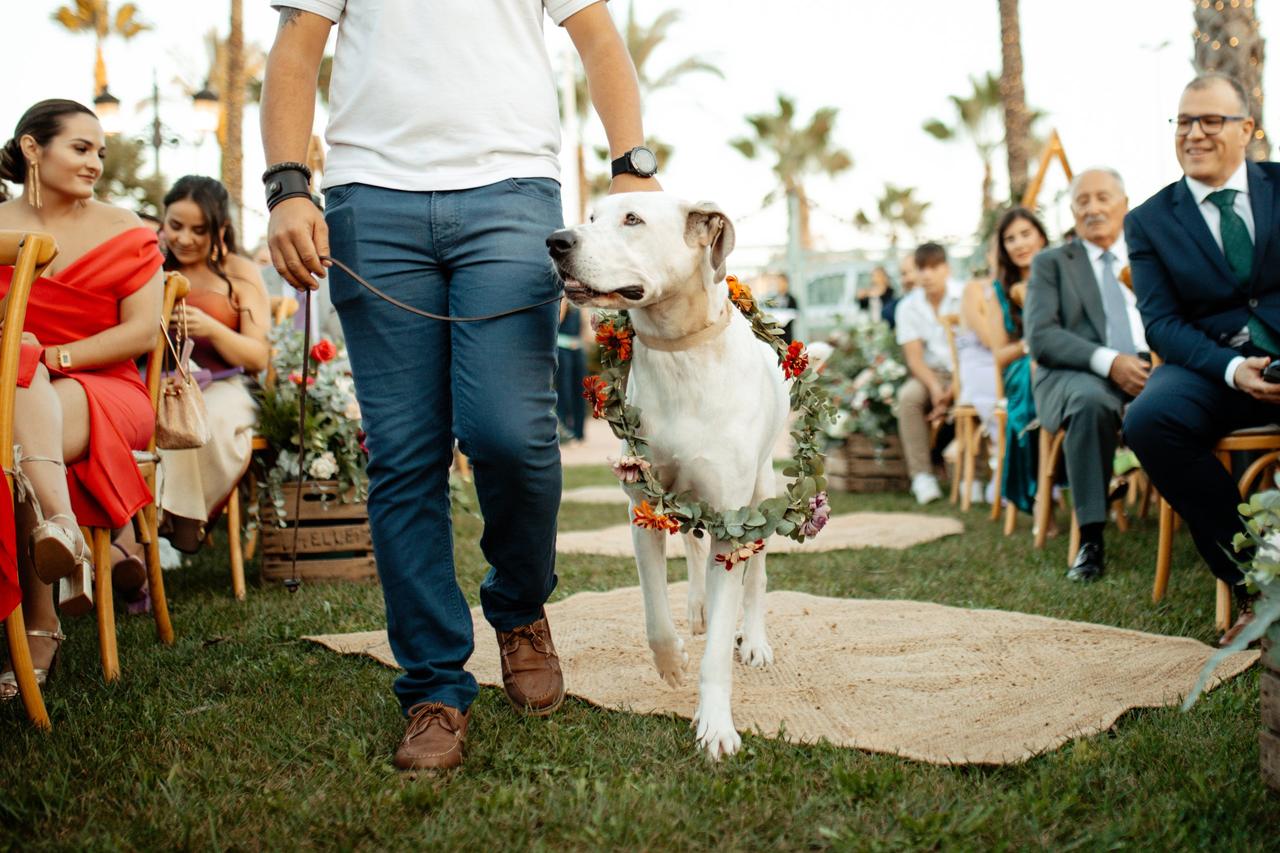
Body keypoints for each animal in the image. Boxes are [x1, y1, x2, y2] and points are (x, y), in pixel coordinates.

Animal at [550, 194, 788, 758]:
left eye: (632, 220)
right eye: (591, 218)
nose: (557, 241)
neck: (680, 349)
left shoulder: (731, 519)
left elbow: (721, 643)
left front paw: (716, 725)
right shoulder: (642, 503)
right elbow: (654, 612)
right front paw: (672, 661)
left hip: (761, 490)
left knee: (756, 575)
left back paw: (755, 639)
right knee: (692, 546)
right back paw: (697, 608)